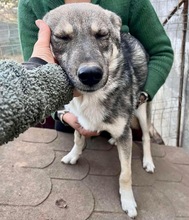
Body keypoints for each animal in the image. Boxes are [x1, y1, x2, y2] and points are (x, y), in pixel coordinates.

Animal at [43, 3, 155, 217]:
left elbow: (125, 173)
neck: (90, 98)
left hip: (142, 110)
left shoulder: (126, 130)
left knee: (145, 136)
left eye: (102, 35)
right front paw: (74, 155)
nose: (90, 74)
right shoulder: (77, 118)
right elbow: (78, 139)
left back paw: (148, 161)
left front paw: (128, 201)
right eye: (62, 37)